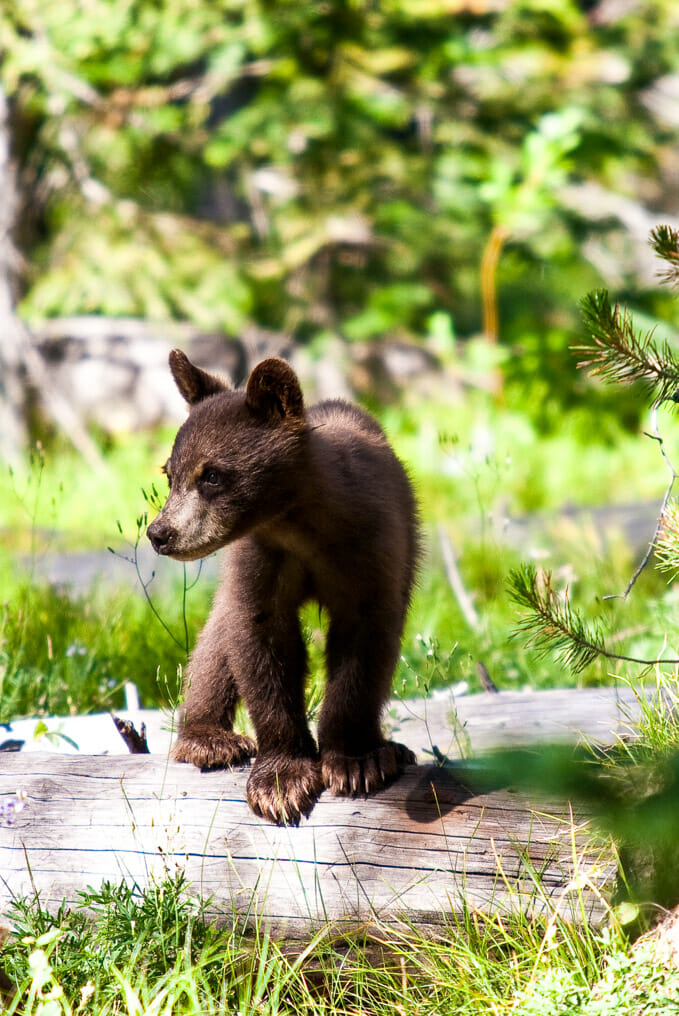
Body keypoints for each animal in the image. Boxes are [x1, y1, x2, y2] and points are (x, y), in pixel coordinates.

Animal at [147, 350, 419, 824]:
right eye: (170, 473)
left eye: (212, 475)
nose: (160, 533)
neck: (301, 525)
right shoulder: (262, 559)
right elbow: (260, 639)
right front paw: (281, 779)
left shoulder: (373, 550)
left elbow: (365, 644)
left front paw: (355, 762)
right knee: (216, 639)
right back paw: (209, 738)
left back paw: (389, 748)